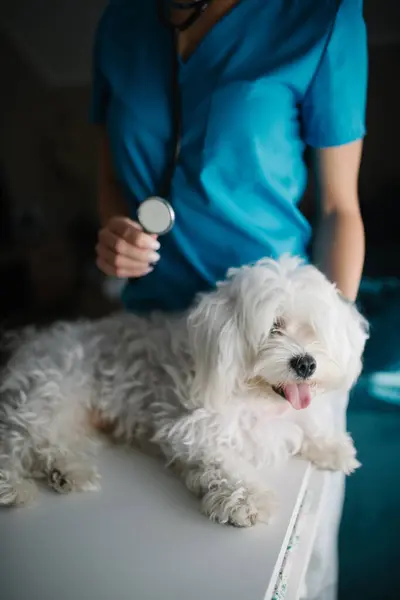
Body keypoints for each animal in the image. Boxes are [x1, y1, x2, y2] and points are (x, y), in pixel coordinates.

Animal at [0, 256, 368, 524]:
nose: (305, 364)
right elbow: (227, 466)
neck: (255, 397)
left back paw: (68, 473)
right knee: (16, 439)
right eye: (273, 328)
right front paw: (247, 499)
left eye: (312, 329)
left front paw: (333, 446)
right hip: (51, 394)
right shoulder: (193, 430)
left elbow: (307, 422)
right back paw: (15, 488)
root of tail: (32, 340)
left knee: (51, 444)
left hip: (72, 413)